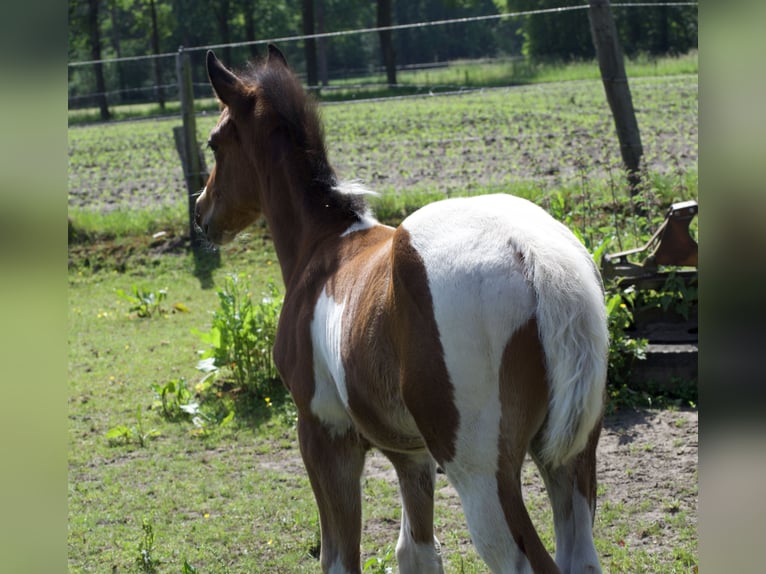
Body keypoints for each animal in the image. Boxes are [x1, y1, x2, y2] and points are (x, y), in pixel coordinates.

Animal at [195, 45, 608, 574]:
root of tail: (531, 251)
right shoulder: (409, 456)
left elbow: (338, 557)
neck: (323, 246)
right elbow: (416, 552)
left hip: (479, 474)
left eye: (215, 142)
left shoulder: (325, 435)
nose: (201, 212)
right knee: (580, 555)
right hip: (571, 457)